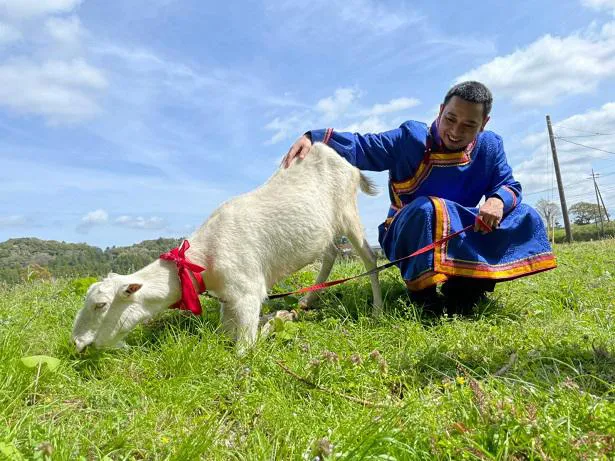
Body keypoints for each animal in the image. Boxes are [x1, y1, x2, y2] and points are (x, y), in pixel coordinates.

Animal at [71, 143, 380, 352]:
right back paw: (307, 300)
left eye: (100, 305)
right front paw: (281, 314)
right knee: (331, 253)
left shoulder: (247, 294)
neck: (203, 260)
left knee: (369, 258)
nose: (76, 342)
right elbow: (226, 335)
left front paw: (278, 317)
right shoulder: (230, 301)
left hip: (348, 212)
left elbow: (245, 349)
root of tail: (348, 164)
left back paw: (376, 309)